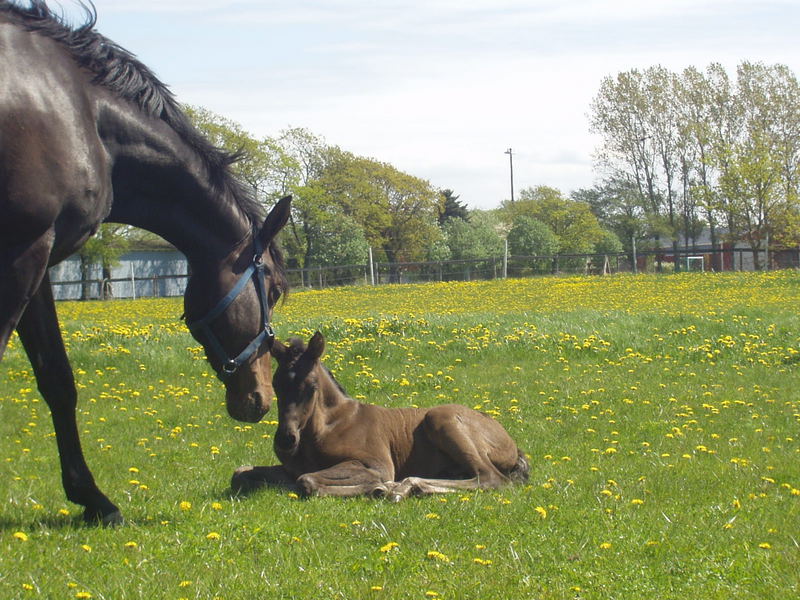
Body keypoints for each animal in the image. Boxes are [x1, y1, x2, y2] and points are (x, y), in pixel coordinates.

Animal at [0, 2, 294, 524]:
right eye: (275, 289)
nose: (260, 401)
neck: (82, 113)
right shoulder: (23, 250)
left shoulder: (37, 260)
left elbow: (57, 378)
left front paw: (92, 498)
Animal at [231, 330, 532, 500]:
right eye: (277, 384)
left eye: (311, 386)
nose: (285, 440)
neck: (327, 427)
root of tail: (511, 444)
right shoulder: (289, 468)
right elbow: (241, 472)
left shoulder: (377, 464)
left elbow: (307, 480)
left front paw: (377, 487)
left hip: (441, 418)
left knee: (491, 478)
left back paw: (398, 488)